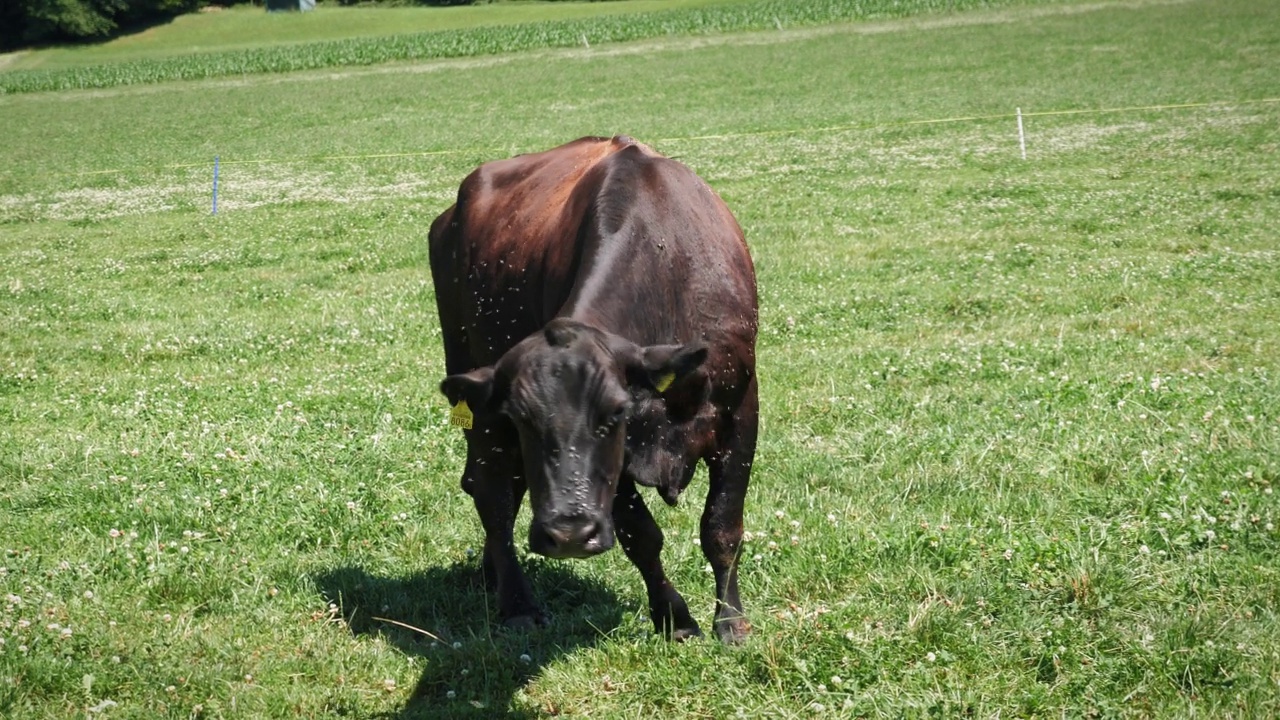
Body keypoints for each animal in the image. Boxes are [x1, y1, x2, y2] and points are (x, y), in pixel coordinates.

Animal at [432, 134, 757, 638]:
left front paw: (731, 622)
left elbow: (722, 527)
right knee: (492, 493)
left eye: (617, 411)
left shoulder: (740, 413)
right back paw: (516, 602)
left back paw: (490, 573)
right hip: (473, 388)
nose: (567, 533)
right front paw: (674, 617)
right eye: (522, 416)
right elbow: (641, 536)